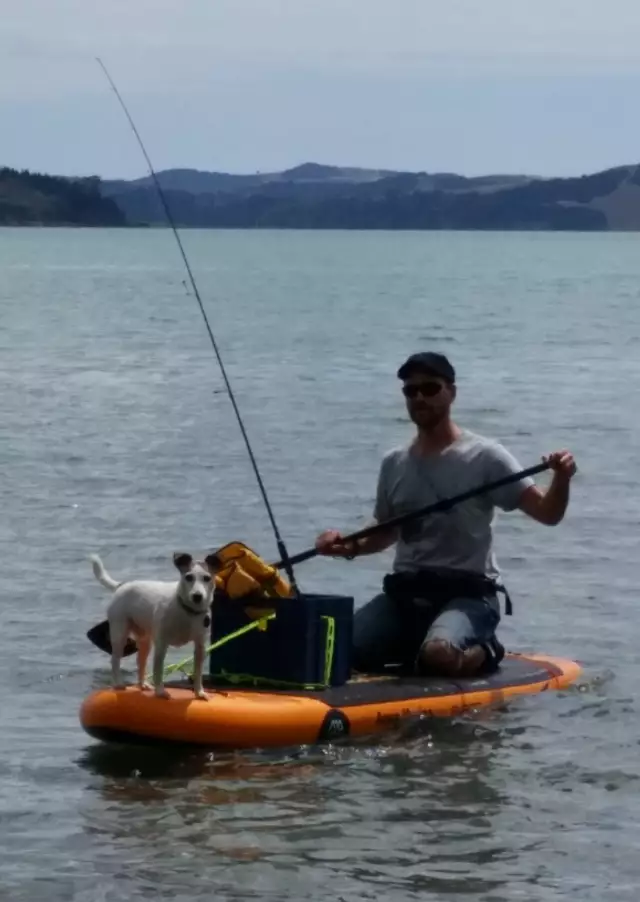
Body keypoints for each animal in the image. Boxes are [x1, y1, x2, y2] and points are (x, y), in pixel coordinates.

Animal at [90, 552, 220, 708]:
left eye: (207, 578)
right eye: (189, 577)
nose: (197, 596)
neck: (187, 611)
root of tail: (122, 585)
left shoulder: (200, 646)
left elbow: (198, 672)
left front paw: (199, 693)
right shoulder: (161, 645)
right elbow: (158, 671)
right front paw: (160, 692)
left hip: (145, 640)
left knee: (140, 662)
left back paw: (143, 684)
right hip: (120, 633)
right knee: (115, 660)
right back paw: (119, 684)